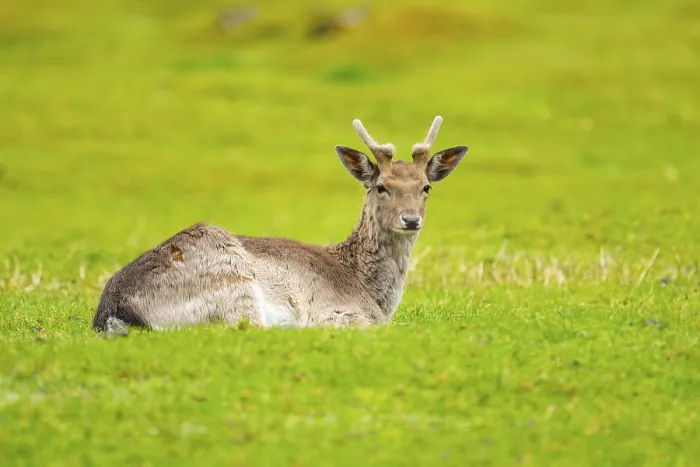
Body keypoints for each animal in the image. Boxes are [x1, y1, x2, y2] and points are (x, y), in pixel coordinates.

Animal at [92, 116, 468, 333]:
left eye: (426, 187)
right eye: (381, 186)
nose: (411, 219)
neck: (371, 293)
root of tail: (112, 313)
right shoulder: (338, 312)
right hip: (232, 280)